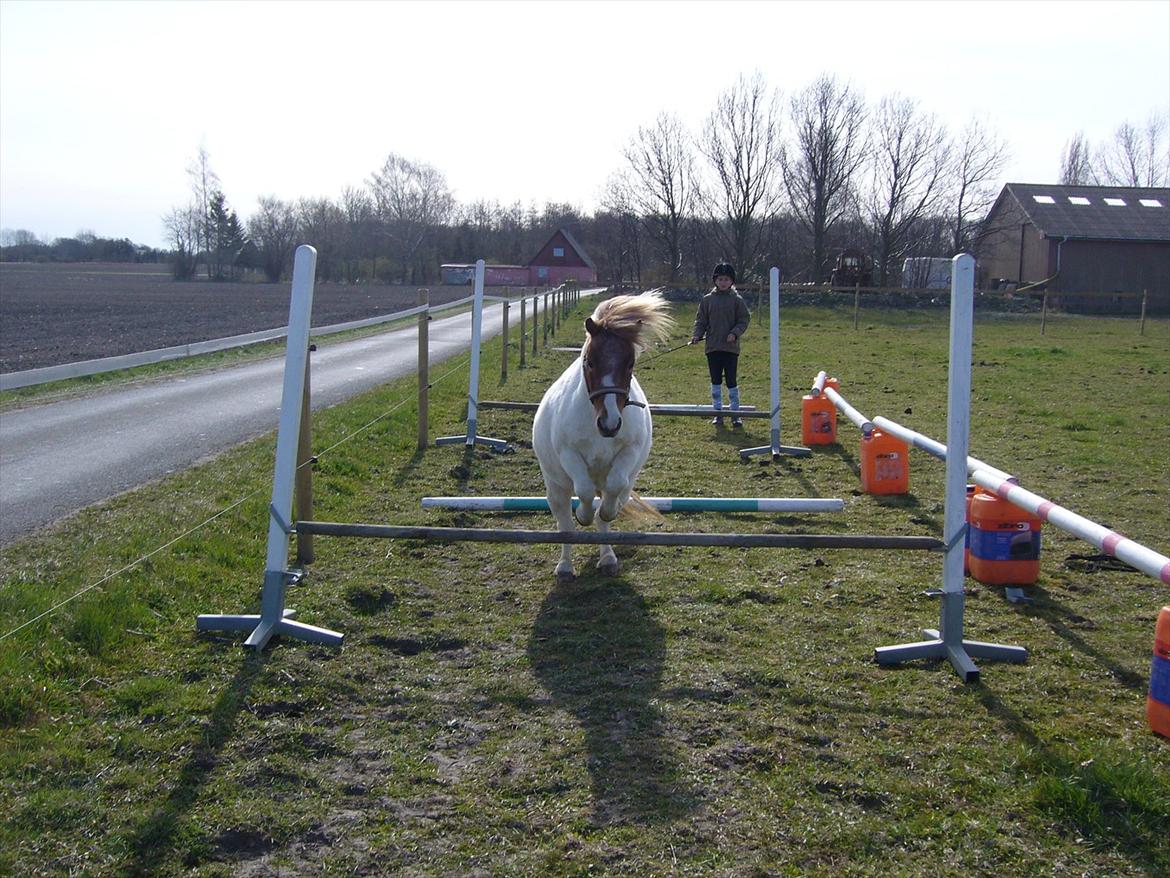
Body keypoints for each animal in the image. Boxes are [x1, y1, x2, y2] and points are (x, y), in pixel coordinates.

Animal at [533, 293, 673, 585]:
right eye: (589, 361)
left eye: (630, 363)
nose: (610, 423)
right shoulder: (569, 454)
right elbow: (584, 493)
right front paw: (583, 515)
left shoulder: (629, 451)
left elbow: (612, 494)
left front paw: (605, 513)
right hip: (556, 488)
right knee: (564, 524)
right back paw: (565, 566)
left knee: (612, 500)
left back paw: (608, 558)